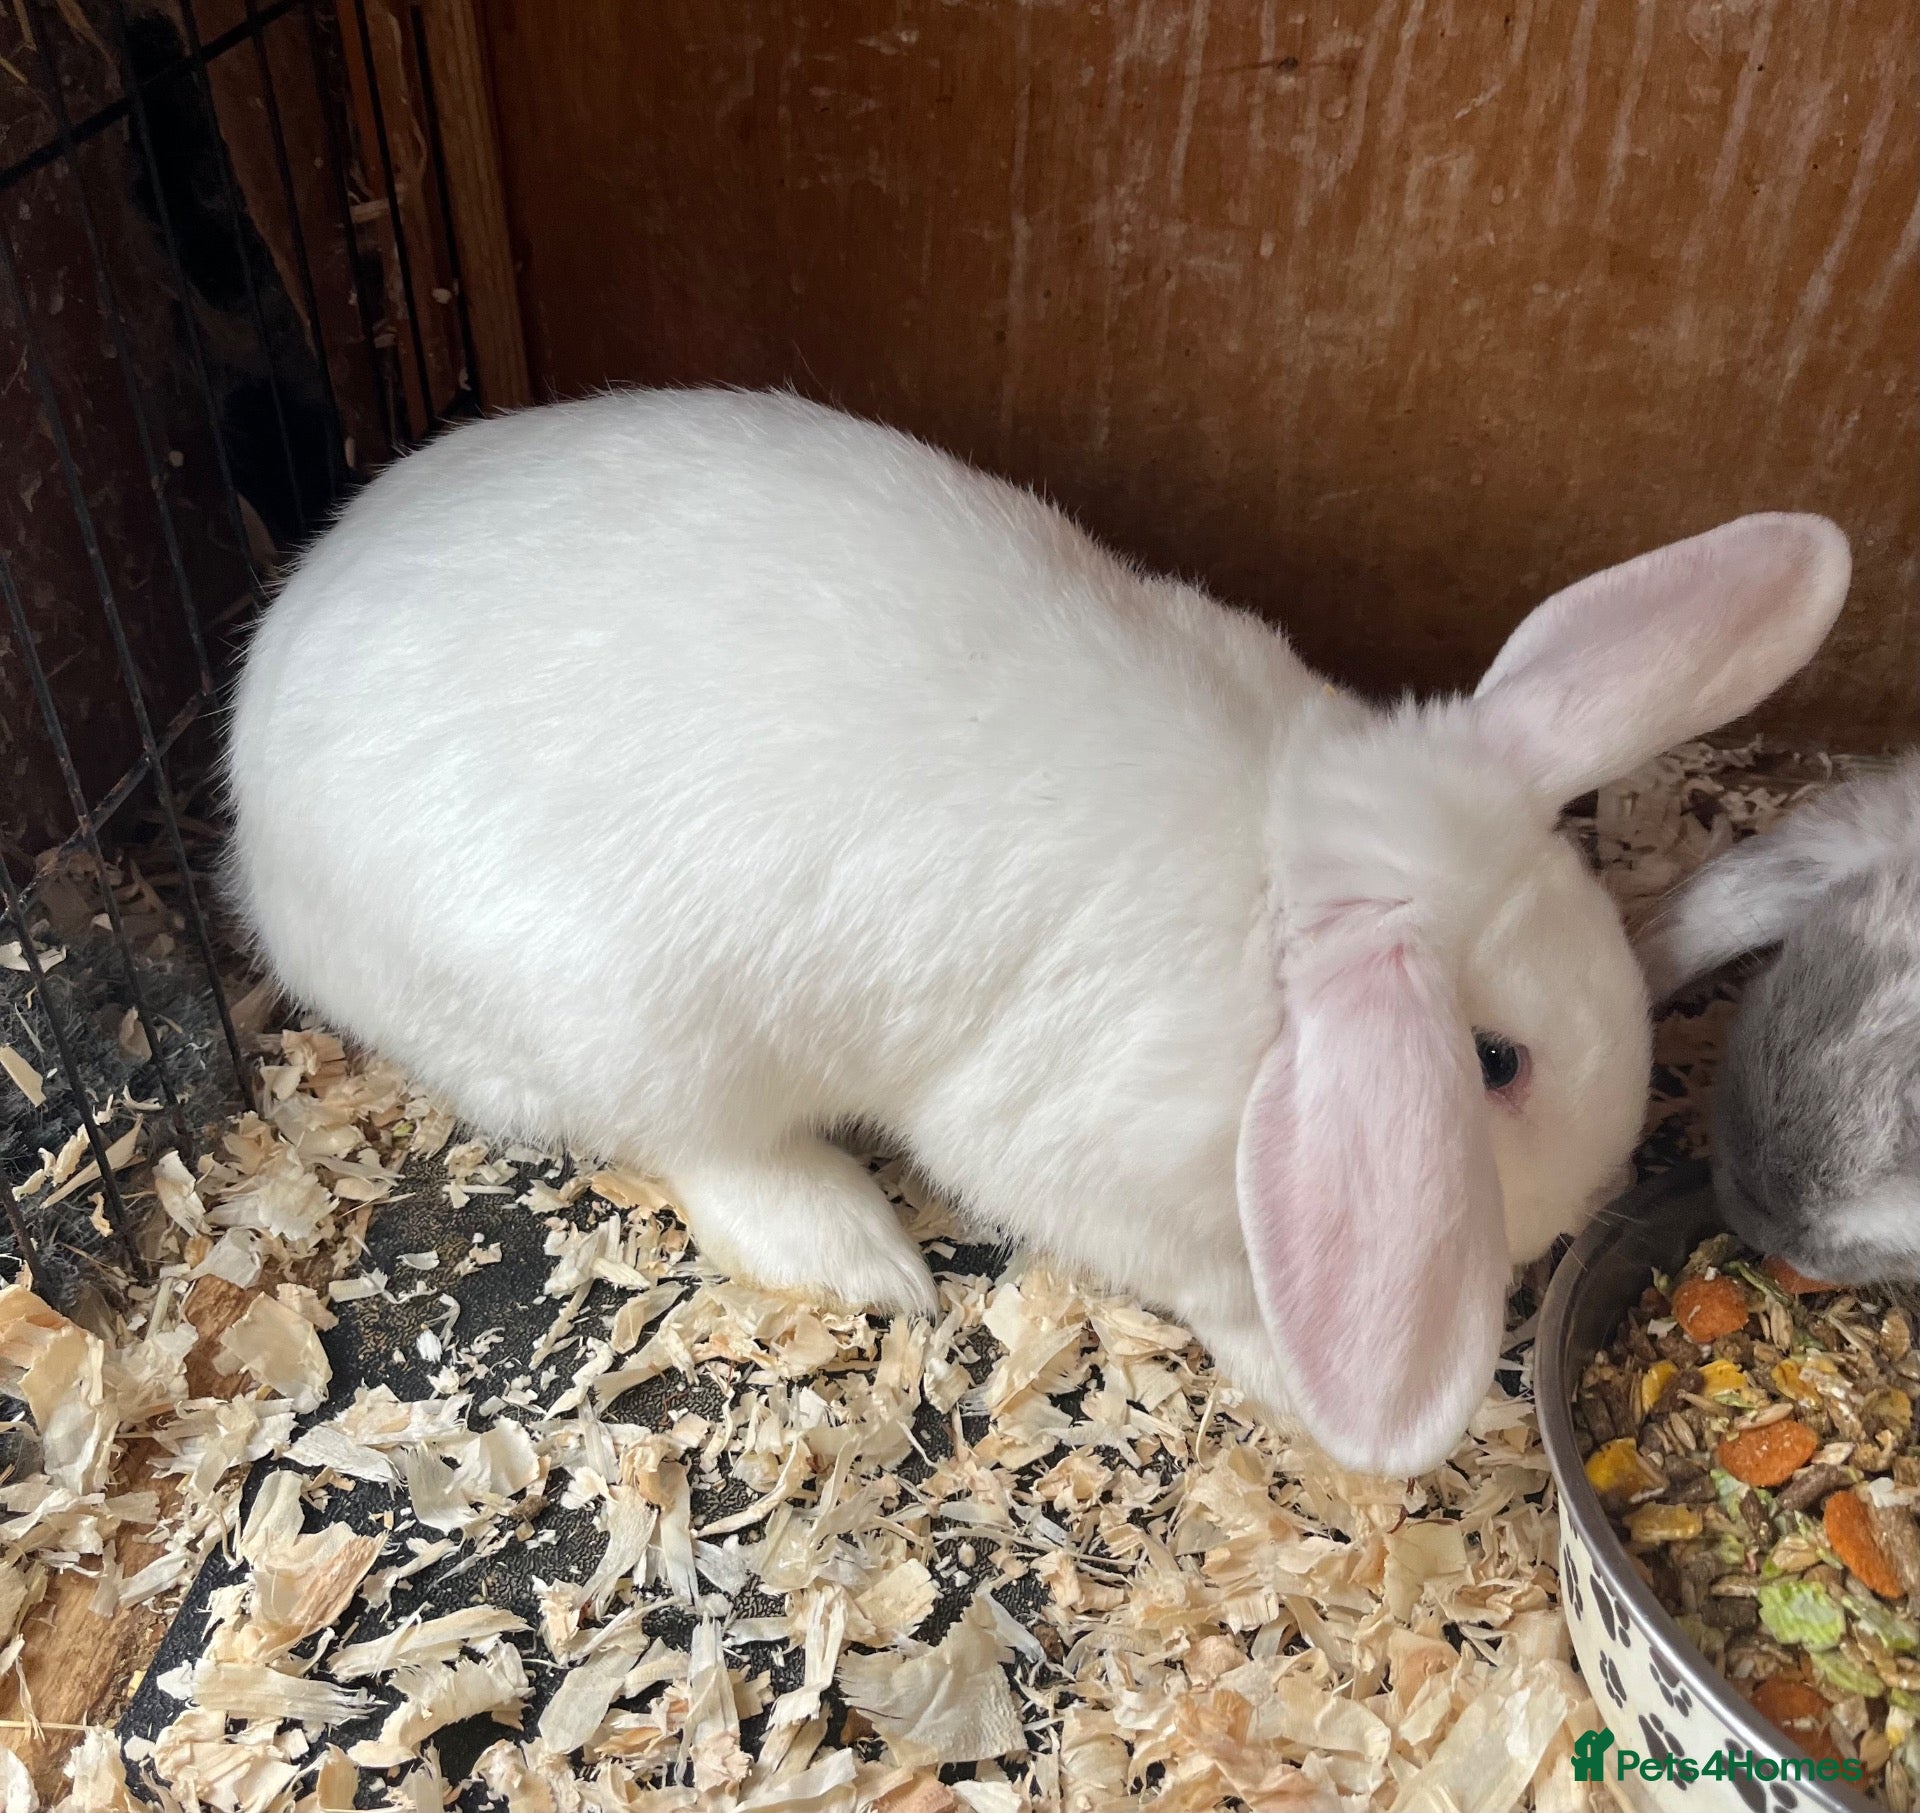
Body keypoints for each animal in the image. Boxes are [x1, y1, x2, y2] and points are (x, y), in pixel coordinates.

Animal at [225, 388, 1851, 1475]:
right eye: (1497, 1062)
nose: (1582, 1199)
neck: (1279, 891)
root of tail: (257, 824)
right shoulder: (1086, 1152)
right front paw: (1282, 1365)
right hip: (639, 1030)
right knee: (703, 1152)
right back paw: (860, 1252)